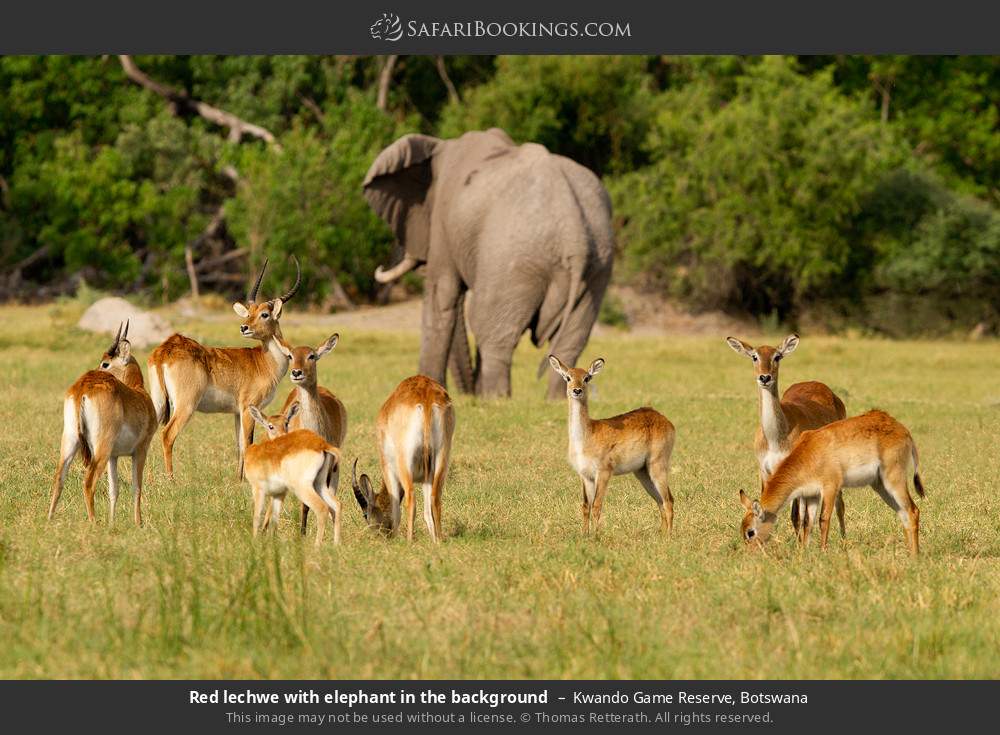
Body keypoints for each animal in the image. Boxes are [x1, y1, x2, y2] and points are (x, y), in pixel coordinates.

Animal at [363, 128, 614, 400]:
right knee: (570, 341)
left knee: (492, 332)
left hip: (512, 259)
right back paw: (556, 399)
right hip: (597, 263)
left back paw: (495, 398)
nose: (467, 393)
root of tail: (574, 233)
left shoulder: (442, 225)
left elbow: (442, 297)